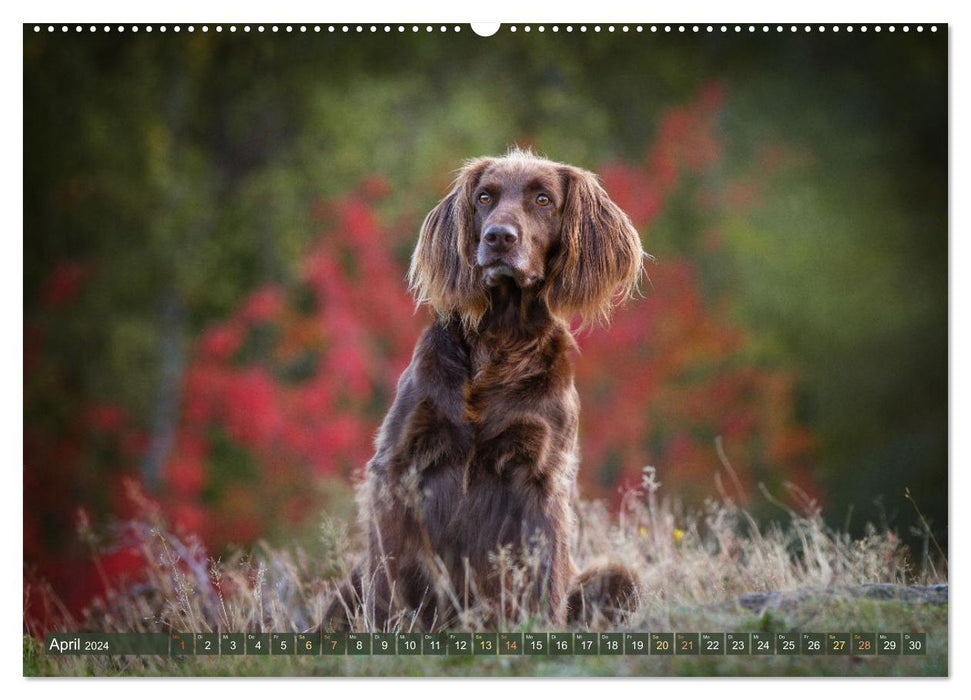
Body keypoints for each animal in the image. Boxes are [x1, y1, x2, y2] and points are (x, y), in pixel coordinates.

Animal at [324, 148, 644, 628]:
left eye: (543, 200)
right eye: (484, 198)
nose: (498, 238)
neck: (499, 344)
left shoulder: (541, 477)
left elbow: (543, 577)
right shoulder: (397, 467)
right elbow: (389, 579)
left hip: (621, 576)